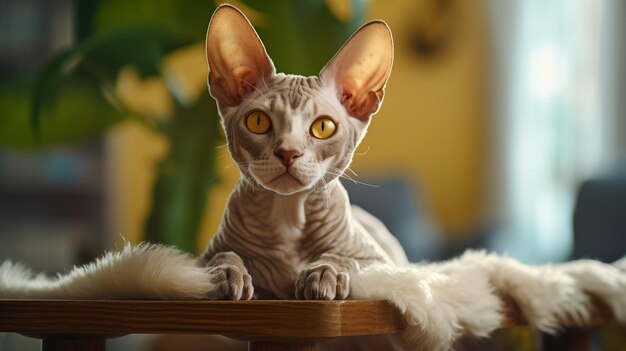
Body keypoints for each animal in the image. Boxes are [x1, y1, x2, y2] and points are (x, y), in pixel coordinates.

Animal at [1, 3, 624, 351]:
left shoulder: (380, 262)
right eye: (259, 121)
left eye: (323, 127)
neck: (287, 218)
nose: (289, 153)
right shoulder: (202, 254)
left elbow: (344, 260)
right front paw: (232, 278)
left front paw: (320, 276)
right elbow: (223, 261)